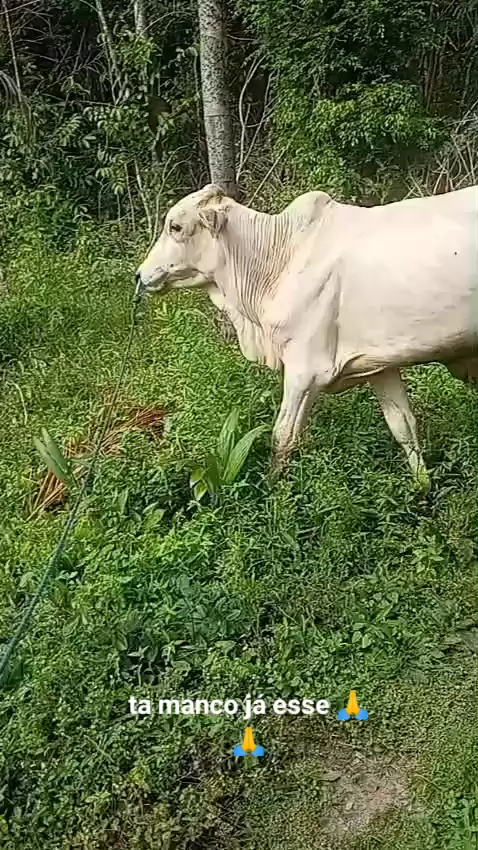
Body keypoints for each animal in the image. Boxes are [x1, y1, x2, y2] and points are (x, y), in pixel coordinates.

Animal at [136, 183, 478, 487]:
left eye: (176, 226)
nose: (139, 275)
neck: (280, 259)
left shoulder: (305, 371)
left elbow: (282, 437)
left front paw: (276, 496)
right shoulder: (380, 365)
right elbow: (403, 427)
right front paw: (423, 489)